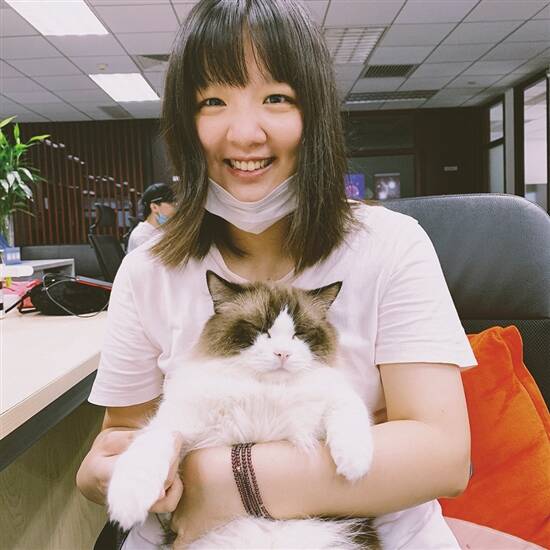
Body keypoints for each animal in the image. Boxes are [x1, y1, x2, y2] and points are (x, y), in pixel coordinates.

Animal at [107, 270, 378, 549]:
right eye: (261, 330)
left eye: (299, 334)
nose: (282, 354)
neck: (265, 391)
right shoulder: (179, 424)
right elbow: (150, 445)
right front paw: (127, 504)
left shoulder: (332, 400)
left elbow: (351, 411)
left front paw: (354, 465)